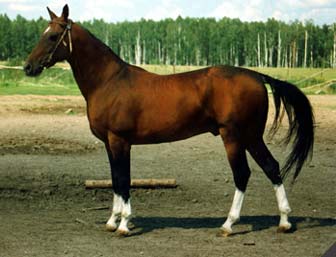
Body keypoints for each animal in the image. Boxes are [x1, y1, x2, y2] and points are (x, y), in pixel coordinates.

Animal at [24, 4, 316, 236]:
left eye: (52, 36)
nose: (28, 67)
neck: (109, 82)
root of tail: (256, 75)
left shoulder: (120, 141)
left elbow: (124, 179)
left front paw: (123, 224)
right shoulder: (109, 143)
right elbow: (116, 180)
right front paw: (112, 220)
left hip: (234, 136)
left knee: (243, 174)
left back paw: (228, 224)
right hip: (252, 136)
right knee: (272, 167)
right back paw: (284, 221)